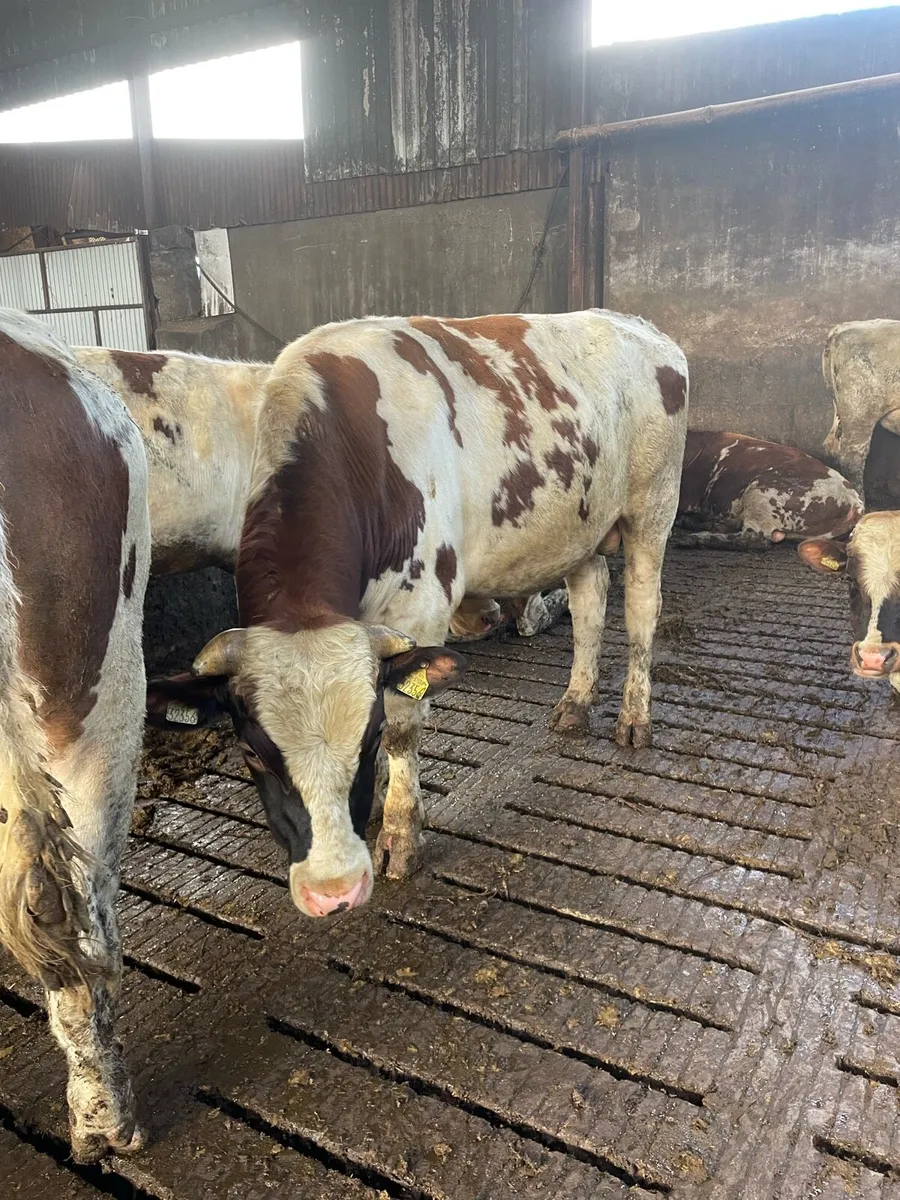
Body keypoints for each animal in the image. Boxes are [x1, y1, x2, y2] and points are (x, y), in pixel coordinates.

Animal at [147, 310, 688, 917]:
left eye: (367, 738)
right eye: (251, 752)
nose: (332, 891)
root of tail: (637, 324)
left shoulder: (419, 605)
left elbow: (405, 725)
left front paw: (400, 834)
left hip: (652, 509)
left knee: (641, 607)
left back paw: (634, 717)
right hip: (578, 527)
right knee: (590, 598)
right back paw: (575, 702)